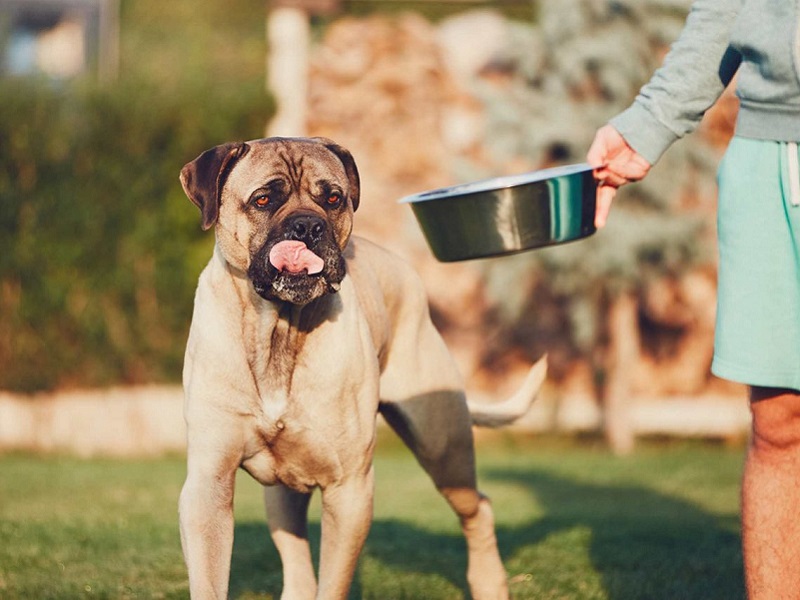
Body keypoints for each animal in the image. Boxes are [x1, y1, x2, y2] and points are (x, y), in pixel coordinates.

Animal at [178, 137, 548, 600]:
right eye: (263, 199)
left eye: (333, 198)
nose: (307, 227)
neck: (279, 330)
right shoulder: (209, 484)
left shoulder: (349, 488)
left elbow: (333, 582)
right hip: (283, 489)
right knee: (295, 553)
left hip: (443, 448)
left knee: (477, 507)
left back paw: (489, 584)